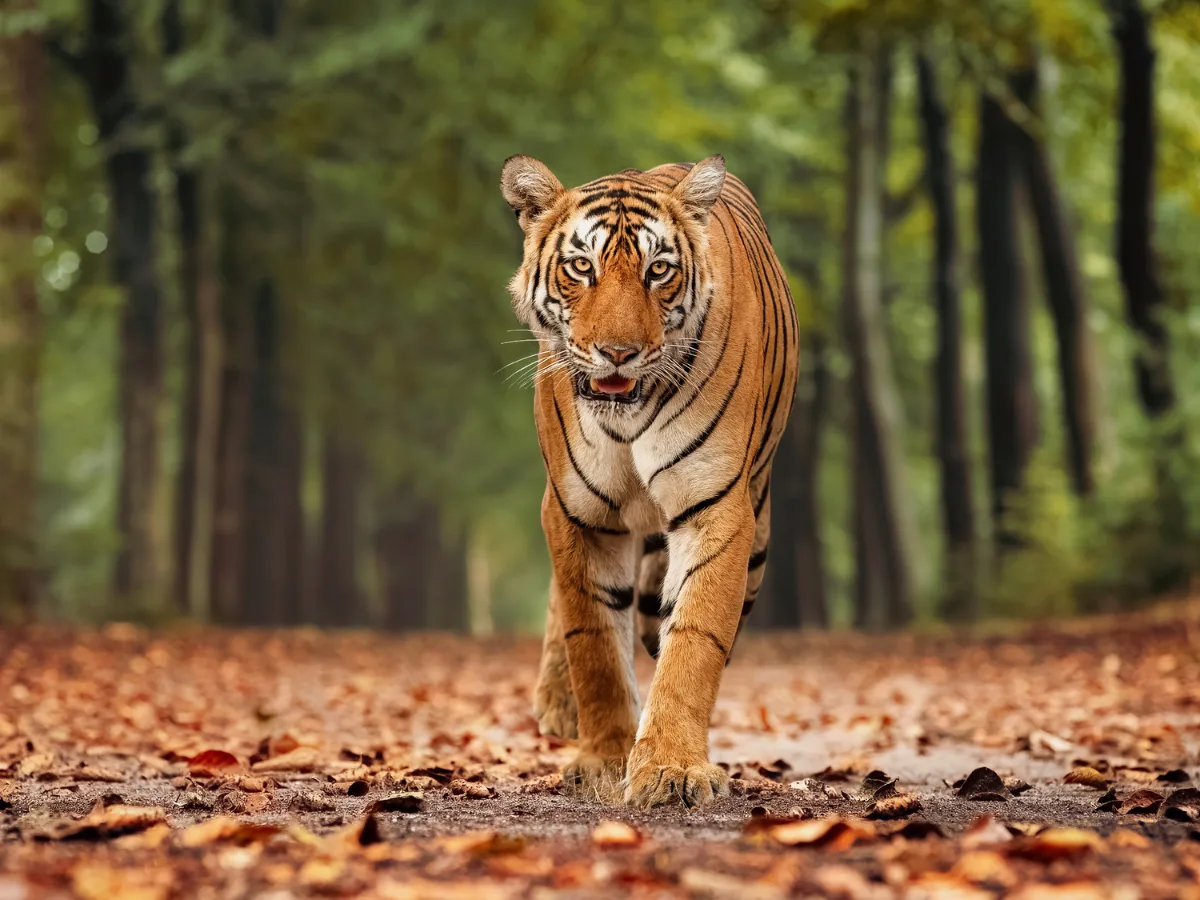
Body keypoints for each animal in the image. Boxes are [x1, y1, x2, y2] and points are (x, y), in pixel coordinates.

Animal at [500, 154, 799, 808]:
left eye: (658, 270)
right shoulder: (575, 512)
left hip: (758, 541)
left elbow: (693, 640)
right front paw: (605, 760)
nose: (618, 353)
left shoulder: (716, 507)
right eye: (581, 267)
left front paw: (671, 767)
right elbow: (593, 643)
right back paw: (557, 705)